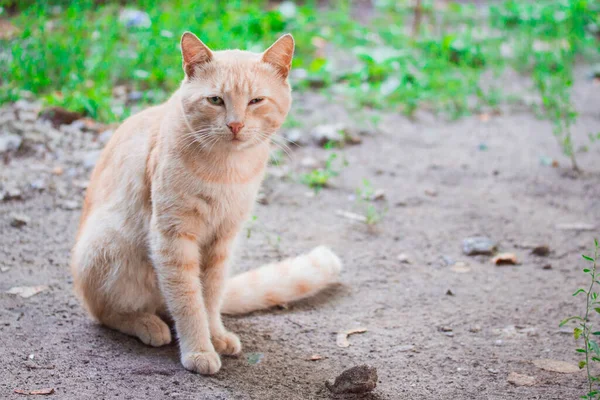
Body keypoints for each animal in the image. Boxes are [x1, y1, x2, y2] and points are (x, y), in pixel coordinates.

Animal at [69, 32, 342, 376]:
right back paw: (147, 324)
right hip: (107, 245)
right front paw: (199, 349)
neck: (227, 171)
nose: (235, 125)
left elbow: (209, 297)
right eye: (215, 101)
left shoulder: (222, 241)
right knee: (105, 312)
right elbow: (189, 302)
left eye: (255, 101)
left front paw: (216, 335)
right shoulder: (173, 238)